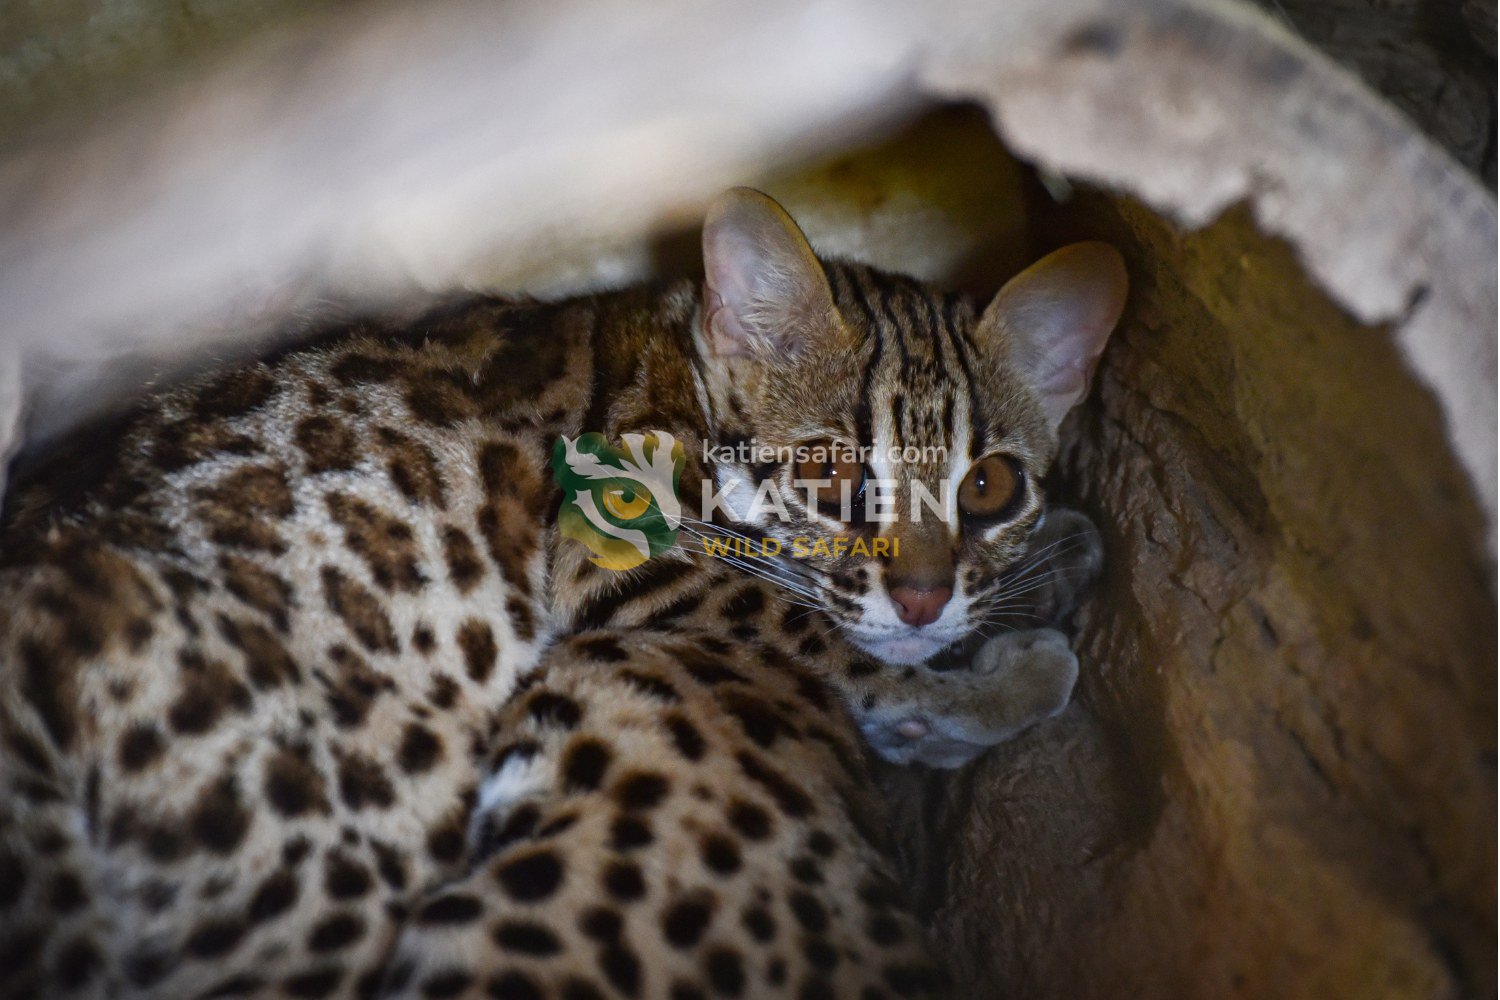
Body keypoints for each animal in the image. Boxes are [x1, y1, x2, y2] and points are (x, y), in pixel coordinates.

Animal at [0, 187, 1125, 997]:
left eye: (989, 487)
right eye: (828, 472)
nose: (928, 598)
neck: (683, 355)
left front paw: (1050, 562)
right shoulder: (624, 553)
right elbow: (803, 622)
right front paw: (1003, 671)